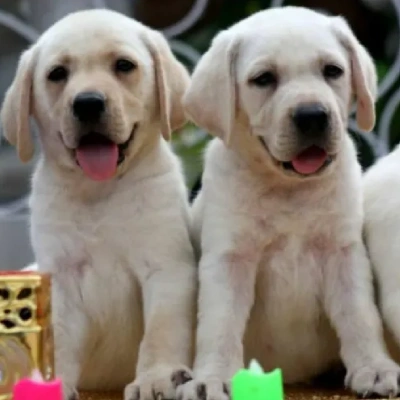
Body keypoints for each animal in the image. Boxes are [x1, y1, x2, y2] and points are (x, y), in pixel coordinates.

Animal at [0, 7, 198, 400]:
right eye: (57, 74)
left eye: (124, 65)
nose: (88, 103)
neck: (99, 193)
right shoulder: (59, 279)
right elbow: (57, 342)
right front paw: (53, 385)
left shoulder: (167, 267)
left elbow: (161, 330)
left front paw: (157, 378)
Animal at [179, 6, 400, 400]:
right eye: (264, 79)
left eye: (332, 71)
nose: (312, 115)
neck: (289, 190)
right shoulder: (228, 259)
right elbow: (220, 323)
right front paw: (212, 378)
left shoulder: (344, 253)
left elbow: (360, 313)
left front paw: (374, 368)